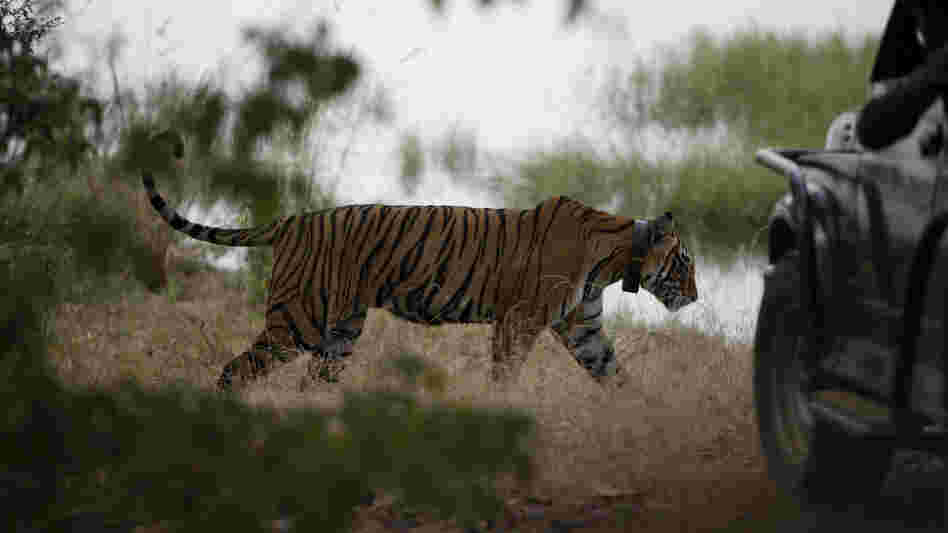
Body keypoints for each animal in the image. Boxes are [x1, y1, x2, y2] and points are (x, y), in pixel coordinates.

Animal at [141, 132, 698, 392]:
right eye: (685, 263)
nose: (695, 297)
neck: (615, 258)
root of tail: (293, 220)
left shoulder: (583, 327)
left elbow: (616, 376)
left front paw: (644, 420)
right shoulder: (520, 320)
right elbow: (506, 373)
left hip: (342, 329)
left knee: (311, 379)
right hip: (297, 320)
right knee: (235, 370)